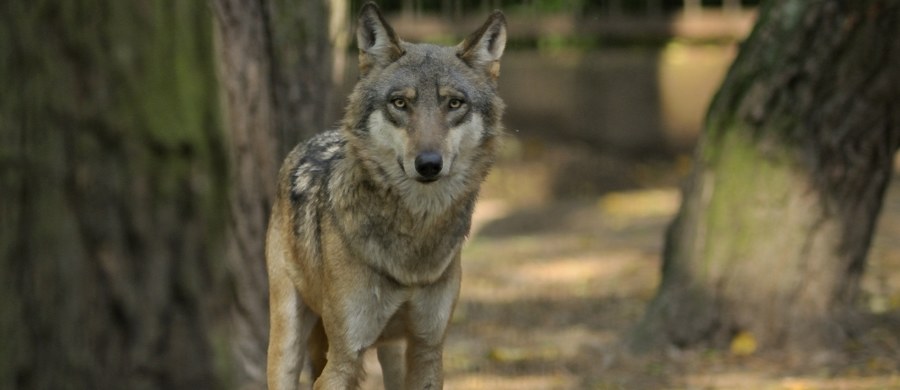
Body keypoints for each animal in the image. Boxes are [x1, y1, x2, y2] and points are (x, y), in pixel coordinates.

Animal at [266, 3, 506, 390]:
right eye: (400, 103)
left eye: (454, 103)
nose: (428, 164)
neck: (412, 249)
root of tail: (311, 139)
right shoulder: (344, 358)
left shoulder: (428, 349)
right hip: (288, 342)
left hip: (392, 352)